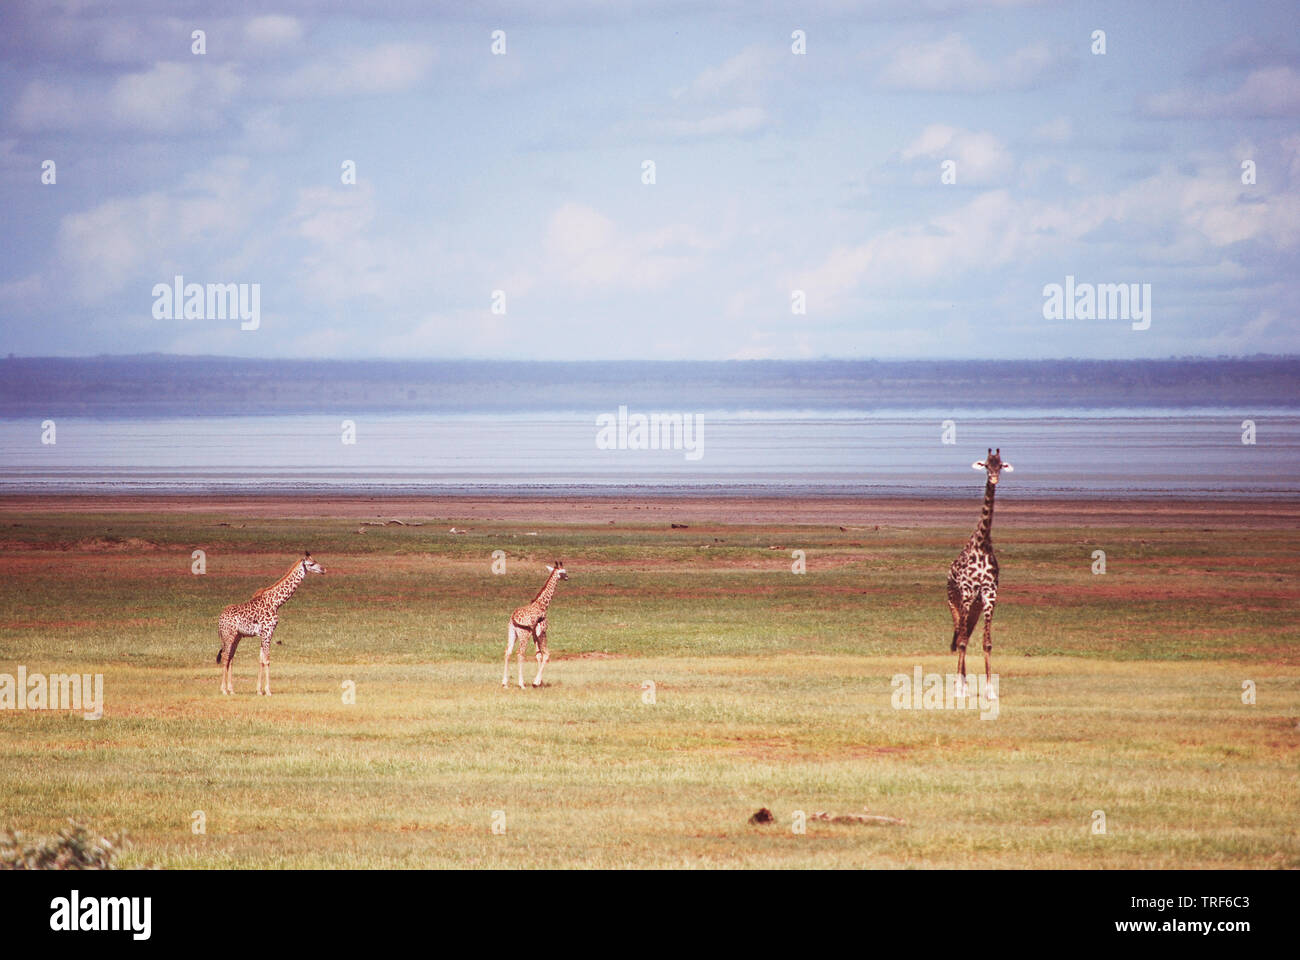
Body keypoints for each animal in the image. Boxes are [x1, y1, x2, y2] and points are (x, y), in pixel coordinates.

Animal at [217, 548, 325, 692]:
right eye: (311, 564)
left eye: (316, 560)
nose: (324, 569)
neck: (276, 603)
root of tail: (220, 619)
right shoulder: (268, 631)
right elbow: (267, 660)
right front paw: (268, 690)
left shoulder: (264, 634)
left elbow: (261, 660)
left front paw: (259, 690)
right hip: (229, 635)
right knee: (225, 656)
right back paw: (224, 690)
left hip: (237, 636)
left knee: (231, 657)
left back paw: (231, 689)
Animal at [946, 447, 1013, 697]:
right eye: (985, 465)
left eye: (1000, 465)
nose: (993, 478)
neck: (983, 543)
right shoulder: (966, 593)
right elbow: (963, 641)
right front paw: (959, 689)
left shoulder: (990, 594)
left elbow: (987, 642)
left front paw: (990, 689)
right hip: (955, 601)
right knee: (960, 634)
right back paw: (960, 684)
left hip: (974, 606)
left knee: (965, 633)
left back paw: (965, 682)